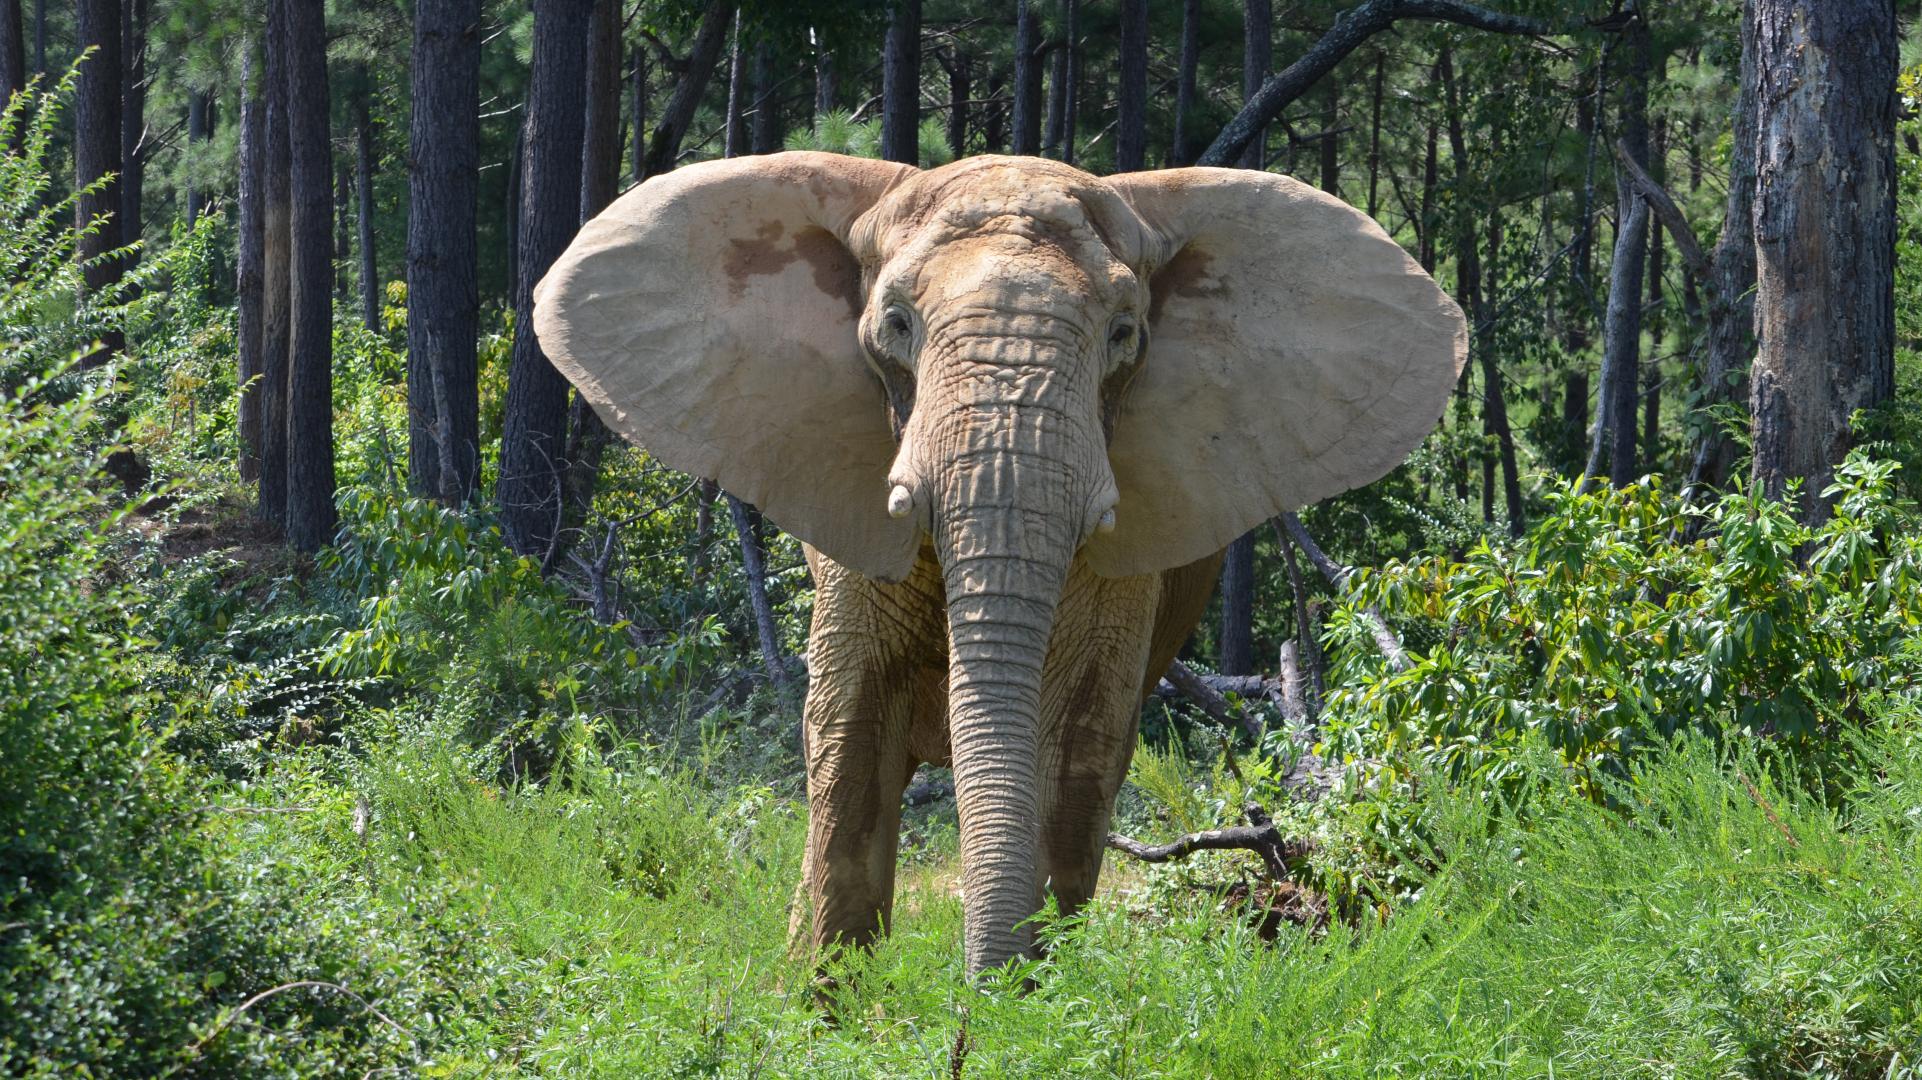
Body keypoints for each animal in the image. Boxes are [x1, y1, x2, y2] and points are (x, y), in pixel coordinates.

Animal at [532, 152, 1465, 976]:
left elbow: (1076, 752)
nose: (974, 1011)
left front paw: (1031, 1016)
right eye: (896, 325)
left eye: (1124, 335)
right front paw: (823, 1023)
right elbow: (849, 738)